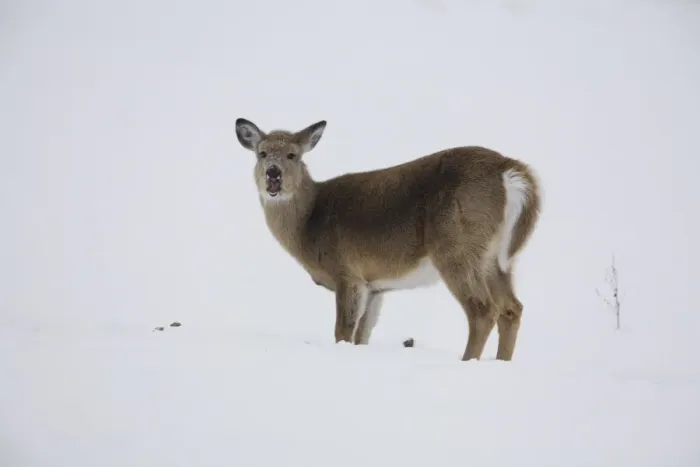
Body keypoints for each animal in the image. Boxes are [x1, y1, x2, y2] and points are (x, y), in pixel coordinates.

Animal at [234, 118, 541, 361]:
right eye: (262, 153)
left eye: (292, 155)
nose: (273, 174)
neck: (309, 222)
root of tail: (509, 171)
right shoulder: (375, 286)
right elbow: (362, 335)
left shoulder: (347, 272)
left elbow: (342, 331)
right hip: (497, 258)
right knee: (511, 308)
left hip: (457, 247)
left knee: (483, 310)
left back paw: (467, 362)